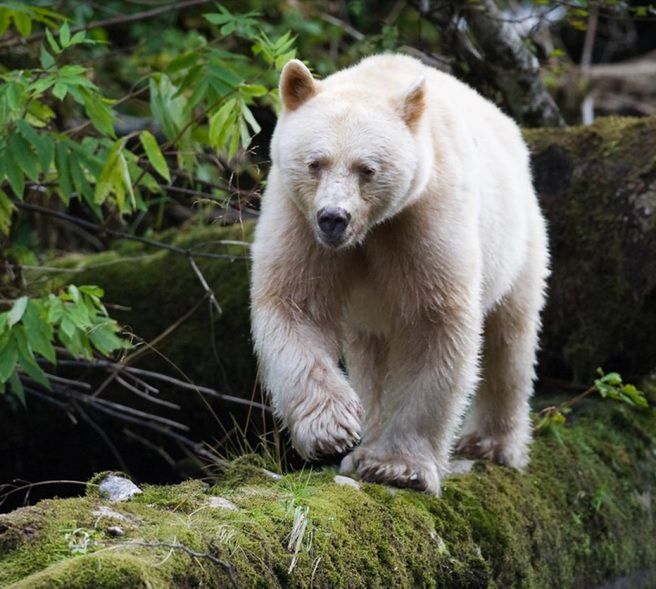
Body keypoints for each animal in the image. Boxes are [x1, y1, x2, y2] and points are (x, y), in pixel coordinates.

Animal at [250, 56, 548, 496]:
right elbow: (295, 305)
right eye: (315, 163)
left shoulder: (424, 217)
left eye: (367, 169)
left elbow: (434, 324)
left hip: (519, 241)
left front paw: (398, 467)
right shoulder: (298, 220)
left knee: (509, 339)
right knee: (371, 357)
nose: (333, 218)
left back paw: (493, 444)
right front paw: (332, 429)